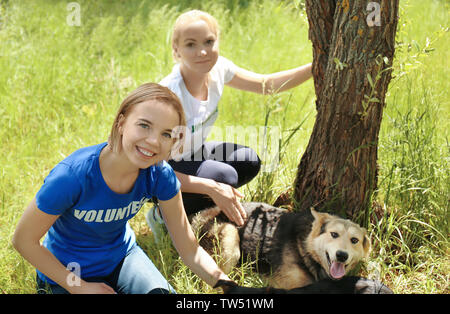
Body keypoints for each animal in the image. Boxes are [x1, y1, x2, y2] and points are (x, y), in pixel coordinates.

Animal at [190, 204, 390, 292]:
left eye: (354, 240)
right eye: (334, 234)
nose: (341, 256)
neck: (306, 246)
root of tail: (198, 216)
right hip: (231, 240)